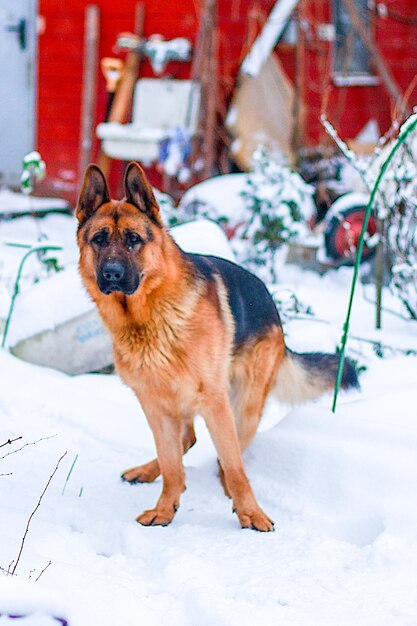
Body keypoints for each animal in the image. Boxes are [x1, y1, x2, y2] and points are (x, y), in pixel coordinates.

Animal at [75, 162, 358, 532]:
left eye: (134, 240)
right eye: (99, 239)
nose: (110, 274)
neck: (149, 317)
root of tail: (275, 310)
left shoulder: (214, 402)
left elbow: (235, 465)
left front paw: (251, 512)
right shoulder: (153, 404)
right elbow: (171, 463)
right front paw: (165, 508)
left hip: (243, 405)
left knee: (228, 451)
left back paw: (224, 483)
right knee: (185, 442)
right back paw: (150, 472)